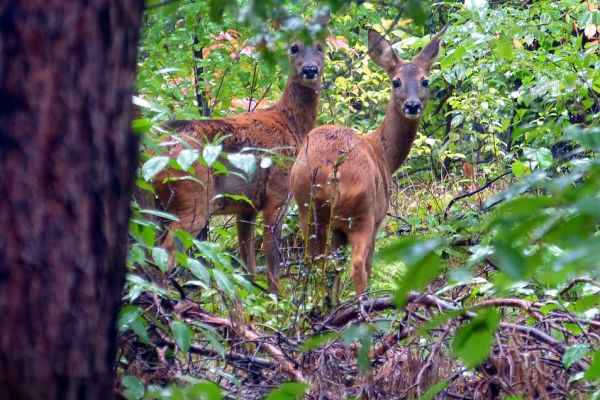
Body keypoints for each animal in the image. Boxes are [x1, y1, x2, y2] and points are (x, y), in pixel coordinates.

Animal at [152, 13, 330, 294]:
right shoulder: (277, 193)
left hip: (158, 204)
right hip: (193, 199)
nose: (310, 70)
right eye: (293, 47)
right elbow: (271, 259)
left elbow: (248, 266)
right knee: (165, 254)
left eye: (321, 46)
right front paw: (278, 299)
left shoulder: (246, 207)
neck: (291, 124)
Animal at [288, 26, 448, 298]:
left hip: (307, 210)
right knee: (358, 266)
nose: (413, 105)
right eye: (396, 81)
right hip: (361, 213)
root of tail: (330, 171)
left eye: (425, 80)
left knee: (317, 265)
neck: (384, 154)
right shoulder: (378, 218)